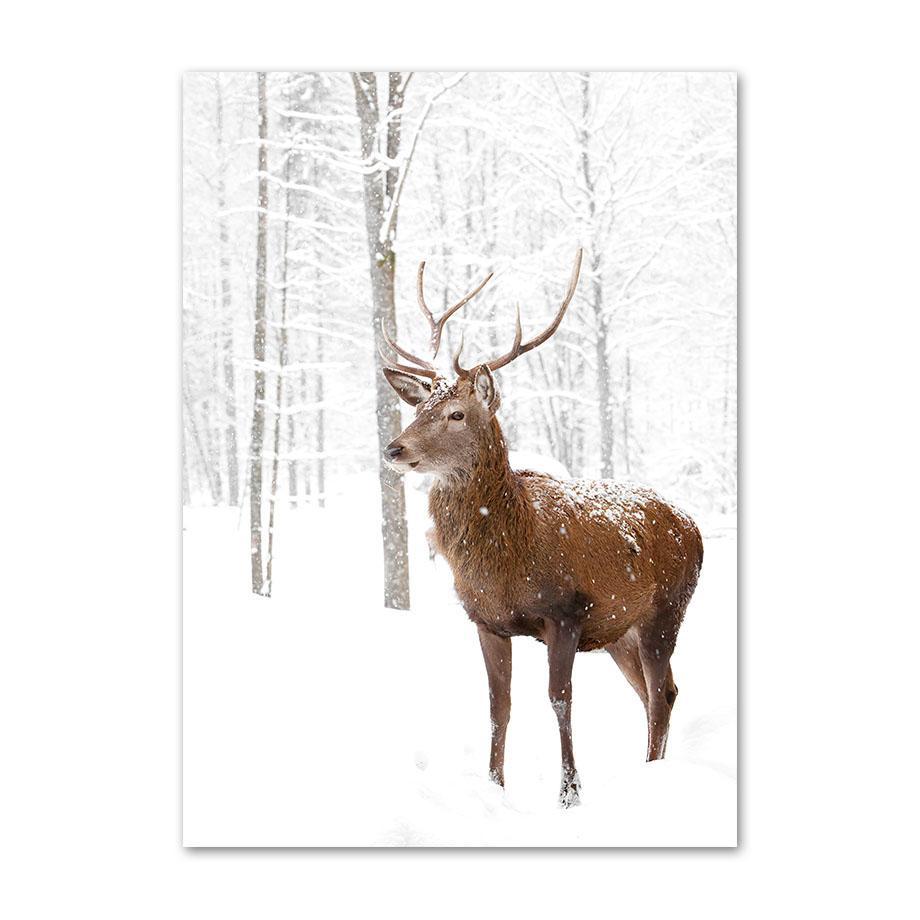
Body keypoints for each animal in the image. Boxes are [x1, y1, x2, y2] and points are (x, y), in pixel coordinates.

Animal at [380, 249, 704, 807]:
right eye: (418, 407)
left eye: (456, 413)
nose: (394, 449)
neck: (508, 553)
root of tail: (695, 527)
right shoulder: (486, 620)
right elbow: (498, 706)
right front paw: (494, 787)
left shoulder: (566, 611)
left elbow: (559, 700)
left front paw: (570, 793)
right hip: (620, 631)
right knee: (654, 692)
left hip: (667, 610)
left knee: (662, 692)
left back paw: (651, 775)